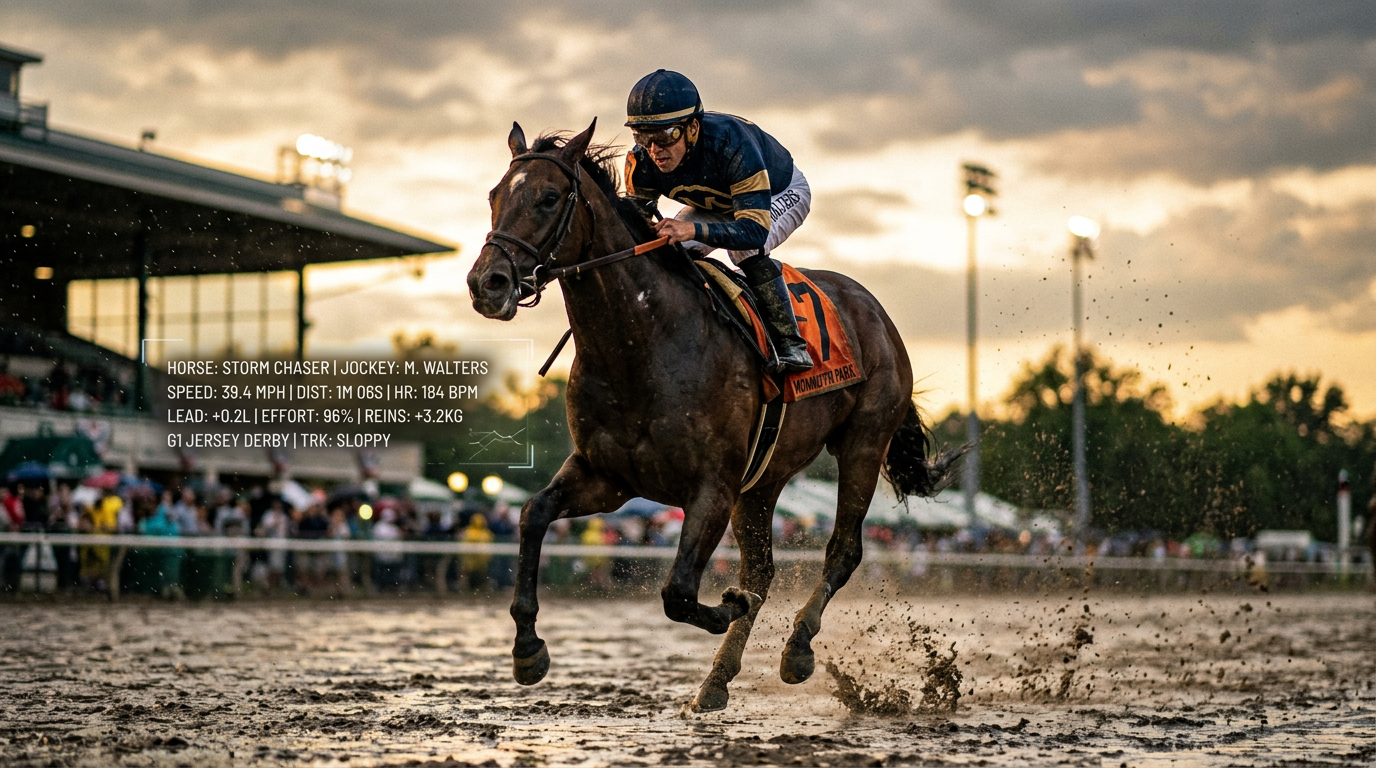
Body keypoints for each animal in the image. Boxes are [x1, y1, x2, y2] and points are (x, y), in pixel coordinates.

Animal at [466, 119, 958, 711]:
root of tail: (877, 314)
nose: (487, 283)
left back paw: (796, 649)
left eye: (548, 197)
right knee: (762, 569)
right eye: (495, 196)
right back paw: (717, 678)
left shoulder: (712, 487)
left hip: (862, 442)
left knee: (842, 551)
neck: (641, 344)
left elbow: (678, 592)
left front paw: (727, 605)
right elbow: (532, 513)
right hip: (763, 478)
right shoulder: (607, 477)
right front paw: (527, 649)